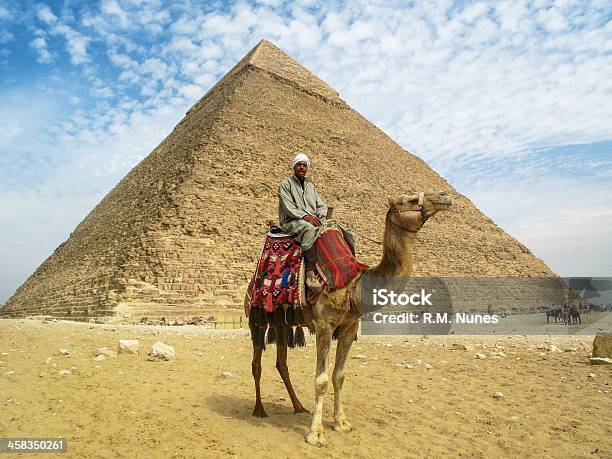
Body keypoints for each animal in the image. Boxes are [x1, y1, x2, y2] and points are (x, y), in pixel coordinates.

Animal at [246, 190, 452, 450]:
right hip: (257, 317)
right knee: (257, 364)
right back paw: (259, 410)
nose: (445, 197)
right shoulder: (324, 326)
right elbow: (322, 380)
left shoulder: (349, 328)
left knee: (282, 363)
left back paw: (298, 406)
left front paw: (342, 423)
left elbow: (339, 376)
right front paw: (316, 433)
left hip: (282, 321)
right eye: (412, 200)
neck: (355, 284)